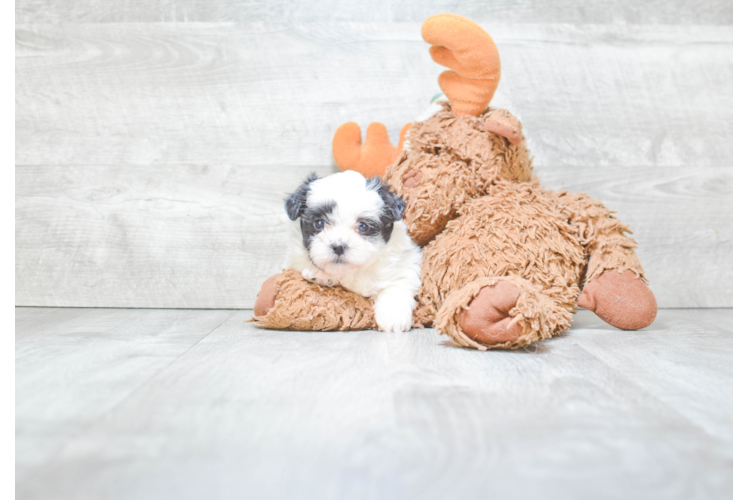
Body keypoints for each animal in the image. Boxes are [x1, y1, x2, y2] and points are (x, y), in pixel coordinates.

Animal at [284, 170, 420, 334]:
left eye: (363, 226)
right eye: (319, 223)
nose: (338, 246)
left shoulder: (406, 262)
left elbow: (397, 285)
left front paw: (393, 317)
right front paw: (320, 275)